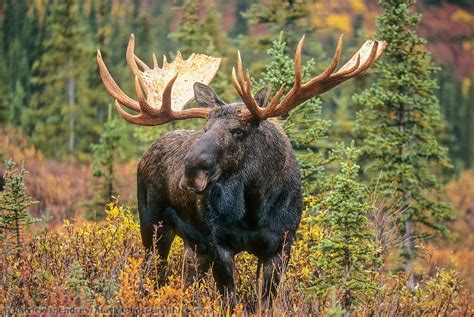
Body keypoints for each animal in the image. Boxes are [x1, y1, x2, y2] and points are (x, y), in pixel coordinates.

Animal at [96, 34, 386, 306]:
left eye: (238, 131)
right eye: (205, 129)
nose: (190, 173)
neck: (255, 207)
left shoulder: (281, 245)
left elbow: (264, 302)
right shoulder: (218, 243)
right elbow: (230, 300)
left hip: (194, 245)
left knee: (187, 282)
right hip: (153, 225)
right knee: (151, 277)